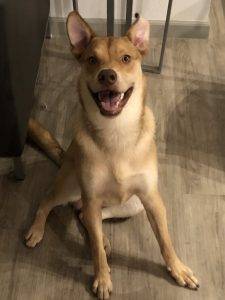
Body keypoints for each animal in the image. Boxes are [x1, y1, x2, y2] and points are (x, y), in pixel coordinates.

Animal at [25, 11, 200, 300]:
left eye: (126, 58)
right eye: (92, 60)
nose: (107, 75)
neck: (116, 132)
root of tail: (65, 156)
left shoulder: (151, 199)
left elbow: (165, 240)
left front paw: (177, 269)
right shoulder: (93, 196)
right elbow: (95, 250)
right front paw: (103, 278)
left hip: (132, 204)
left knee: (84, 216)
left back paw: (102, 236)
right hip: (71, 187)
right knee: (50, 202)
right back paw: (37, 230)